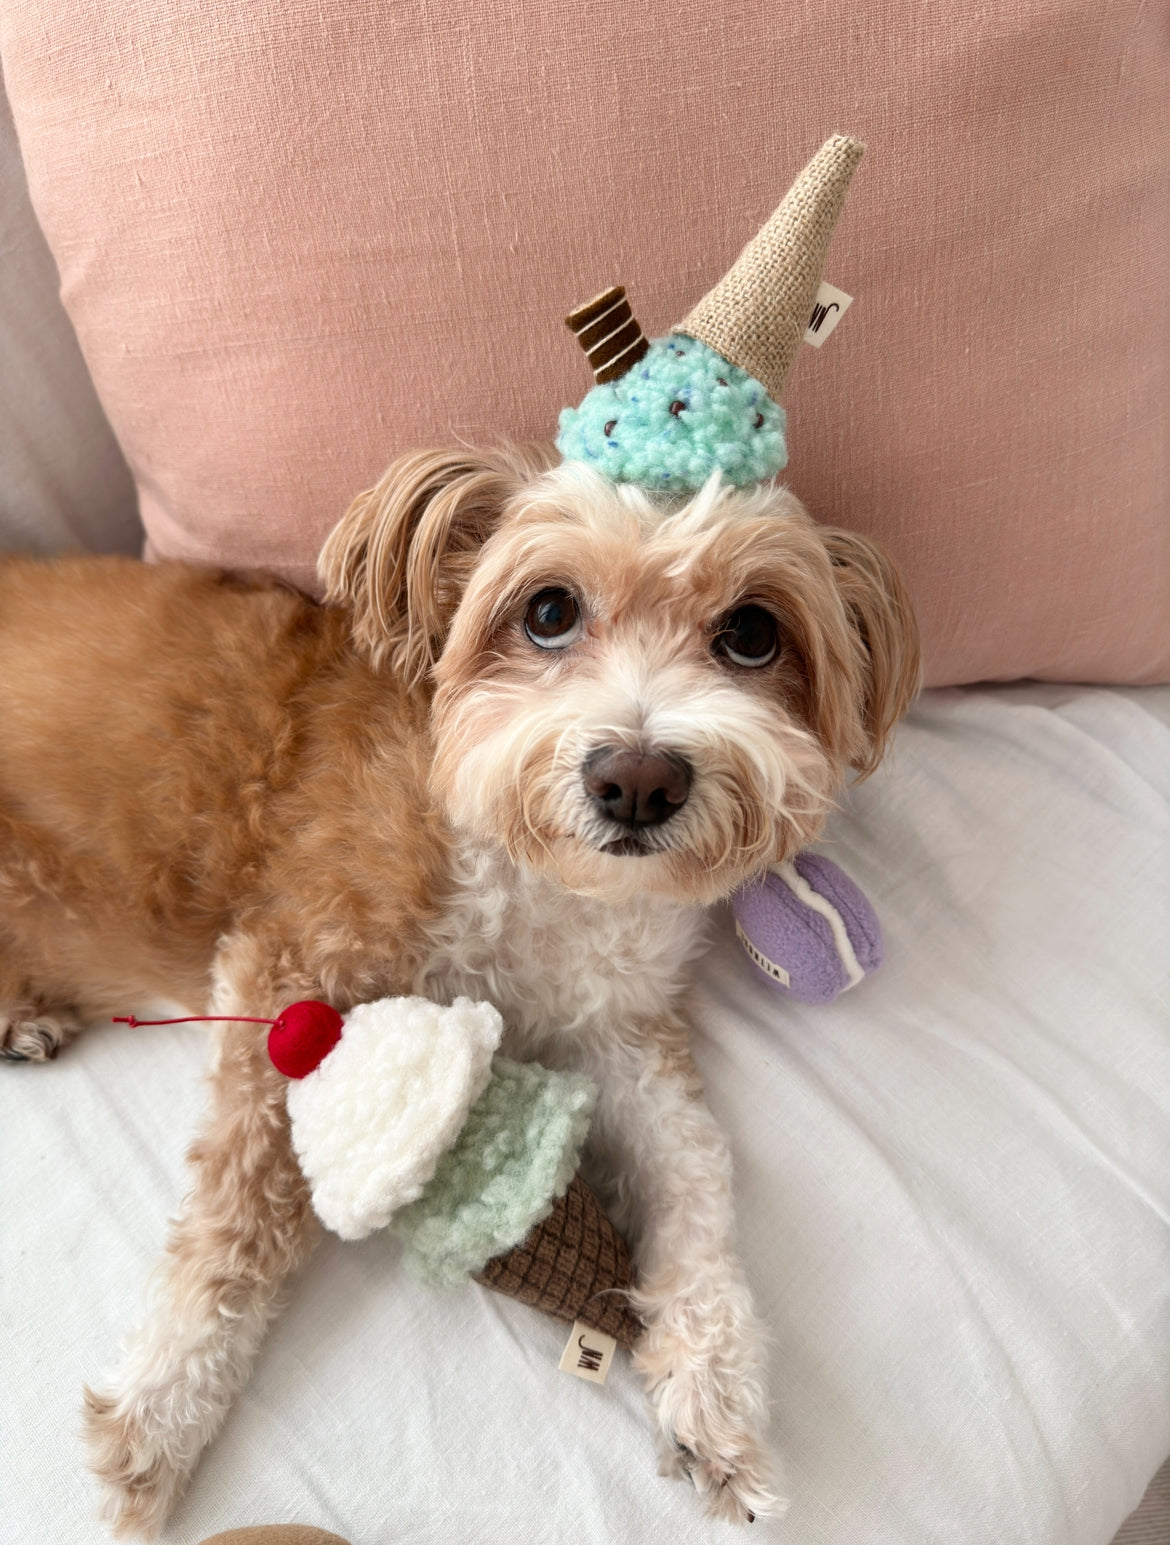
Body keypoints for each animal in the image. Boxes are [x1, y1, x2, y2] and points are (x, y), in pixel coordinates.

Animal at [0, 444, 914, 1532]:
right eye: (549, 610)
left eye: (751, 633)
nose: (637, 780)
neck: (534, 877)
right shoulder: (291, 966)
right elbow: (241, 1216)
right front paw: (158, 1411)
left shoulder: (617, 1030)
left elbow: (696, 1173)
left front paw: (713, 1390)